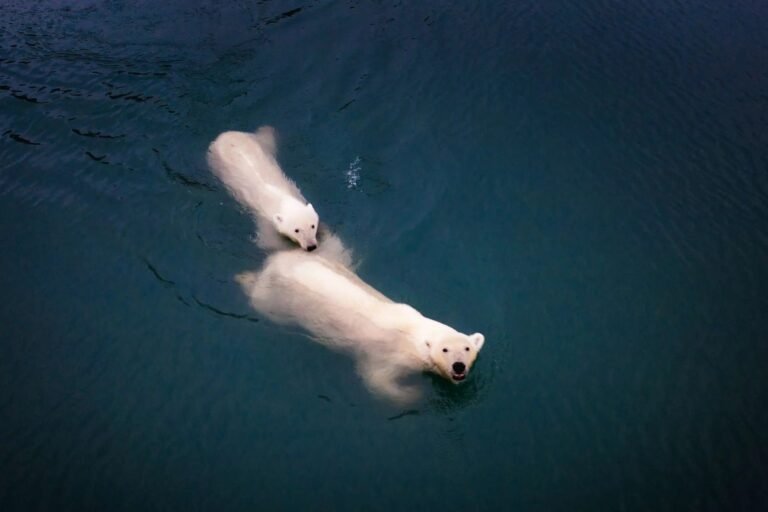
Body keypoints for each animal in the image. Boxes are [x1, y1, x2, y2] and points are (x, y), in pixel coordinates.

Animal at [235, 240, 485, 403]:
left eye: (467, 349)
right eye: (445, 349)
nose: (459, 366)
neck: (414, 333)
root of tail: (276, 260)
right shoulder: (389, 355)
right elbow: (375, 379)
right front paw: (414, 393)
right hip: (276, 299)